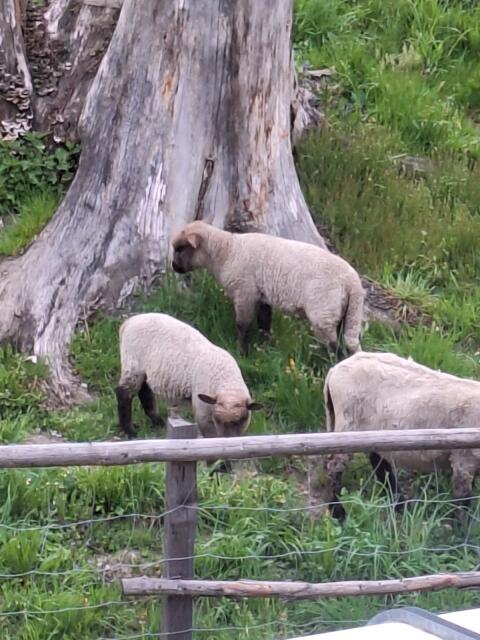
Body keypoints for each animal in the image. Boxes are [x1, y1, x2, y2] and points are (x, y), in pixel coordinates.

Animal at [115, 313, 262, 440]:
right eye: (217, 419)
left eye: (241, 419)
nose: (227, 439)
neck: (225, 379)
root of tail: (128, 322)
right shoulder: (203, 412)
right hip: (133, 363)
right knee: (124, 393)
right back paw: (130, 431)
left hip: (143, 369)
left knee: (144, 390)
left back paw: (157, 422)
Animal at [171, 221, 365, 356]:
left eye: (180, 248)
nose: (173, 267)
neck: (227, 252)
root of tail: (353, 283)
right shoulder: (262, 297)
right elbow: (264, 324)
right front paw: (264, 349)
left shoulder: (244, 293)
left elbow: (242, 325)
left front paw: (241, 352)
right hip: (346, 314)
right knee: (349, 345)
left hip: (323, 313)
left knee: (336, 349)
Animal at [319, 351, 480, 519]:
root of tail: (335, 370)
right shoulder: (464, 459)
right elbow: (463, 501)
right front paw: (463, 525)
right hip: (347, 424)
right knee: (333, 469)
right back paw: (338, 512)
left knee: (379, 462)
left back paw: (398, 504)